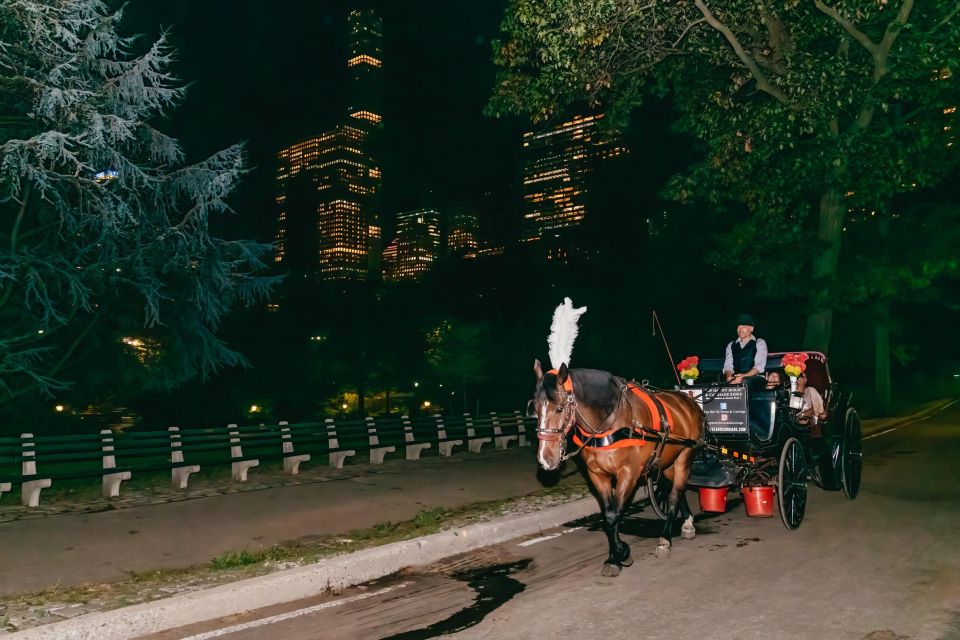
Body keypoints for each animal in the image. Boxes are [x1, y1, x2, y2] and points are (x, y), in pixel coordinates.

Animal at [532, 360, 704, 576]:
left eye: (560, 408)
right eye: (535, 408)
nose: (545, 458)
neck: (610, 423)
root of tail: (688, 401)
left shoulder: (629, 474)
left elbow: (614, 513)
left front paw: (620, 554)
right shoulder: (598, 475)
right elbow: (608, 515)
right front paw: (616, 555)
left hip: (685, 456)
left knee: (674, 495)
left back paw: (665, 539)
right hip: (667, 463)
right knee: (677, 490)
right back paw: (687, 521)